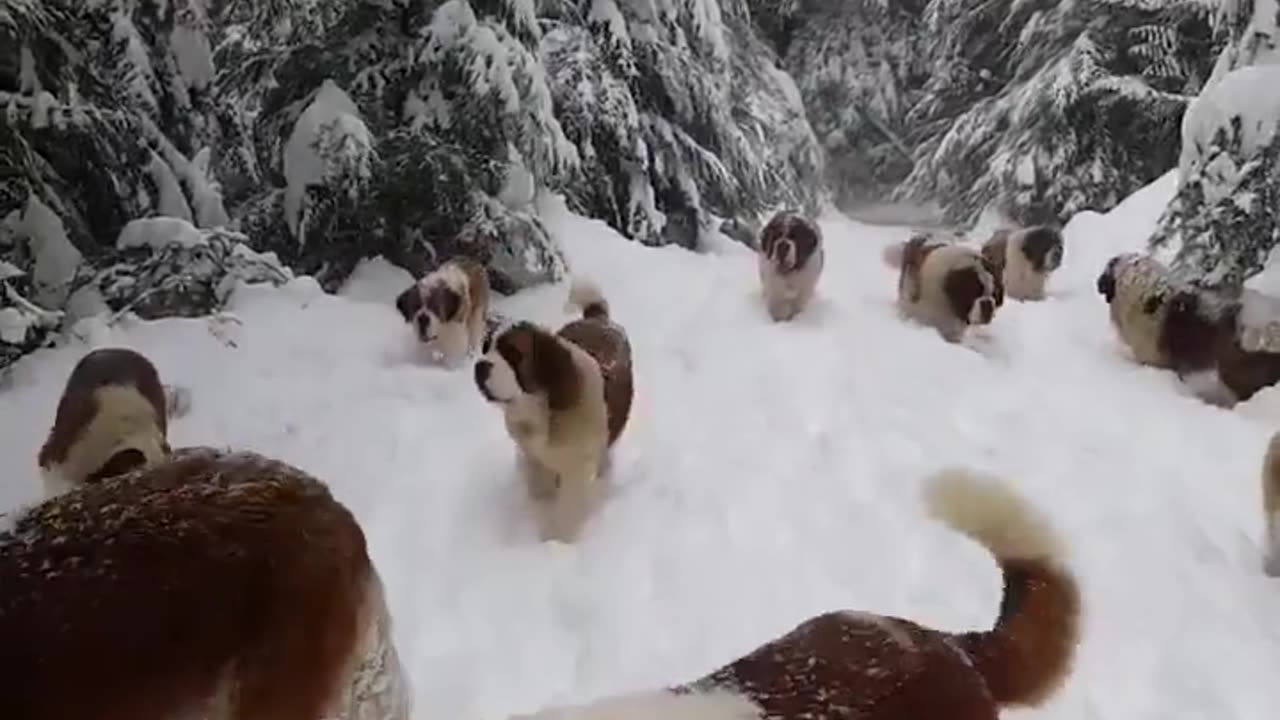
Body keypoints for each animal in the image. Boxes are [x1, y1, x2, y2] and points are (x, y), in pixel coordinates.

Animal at [473, 278, 632, 540]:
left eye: (513, 354)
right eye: (485, 347)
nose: (480, 365)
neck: (544, 410)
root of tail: (597, 318)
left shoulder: (576, 472)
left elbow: (567, 511)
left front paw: (556, 542)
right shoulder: (533, 458)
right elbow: (541, 491)